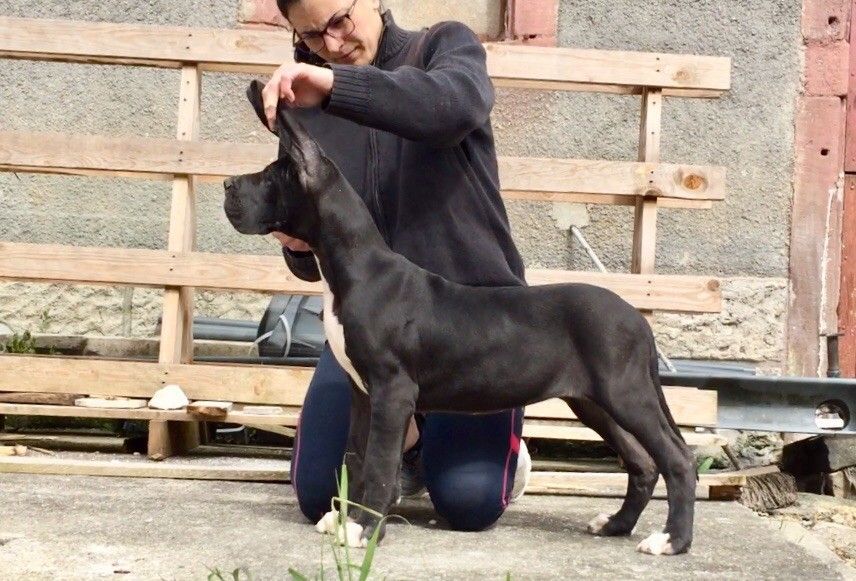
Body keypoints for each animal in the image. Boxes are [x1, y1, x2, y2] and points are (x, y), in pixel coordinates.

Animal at [223, 81, 696, 556]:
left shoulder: (392, 392)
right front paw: (343, 520)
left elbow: (378, 465)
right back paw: (616, 524)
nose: (227, 183)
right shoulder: (362, 393)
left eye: (270, 176)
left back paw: (672, 539)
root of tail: (638, 319)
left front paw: (364, 529)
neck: (353, 267)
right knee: (642, 461)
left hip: (625, 393)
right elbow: (354, 457)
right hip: (595, 401)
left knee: (678, 458)